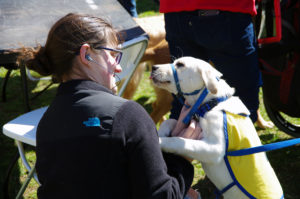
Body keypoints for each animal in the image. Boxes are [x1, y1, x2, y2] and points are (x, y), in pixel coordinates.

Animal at [151, 56, 282, 199]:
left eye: (180, 64)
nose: (153, 67)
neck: (210, 104)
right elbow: (170, 121)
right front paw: (160, 132)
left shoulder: (215, 149)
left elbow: (179, 141)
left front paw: (159, 141)